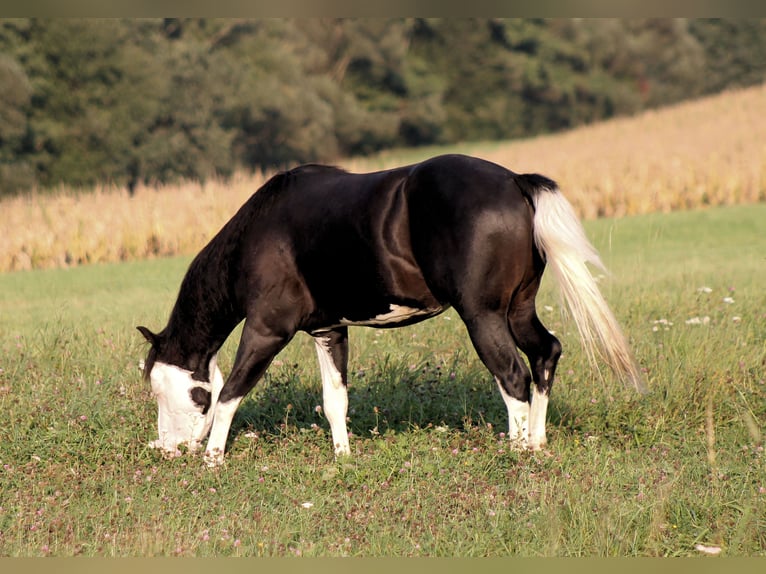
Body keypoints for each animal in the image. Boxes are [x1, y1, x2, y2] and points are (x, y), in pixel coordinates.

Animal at [140, 154, 648, 468]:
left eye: (168, 392)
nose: (168, 450)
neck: (264, 232)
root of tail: (515, 182)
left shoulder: (267, 330)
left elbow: (231, 394)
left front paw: (213, 461)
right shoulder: (329, 331)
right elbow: (335, 401)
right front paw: (343, 458)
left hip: (483, 318)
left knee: (513, 377)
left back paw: (517, 452)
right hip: (518, 310)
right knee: (545, 355)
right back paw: (537, 445)